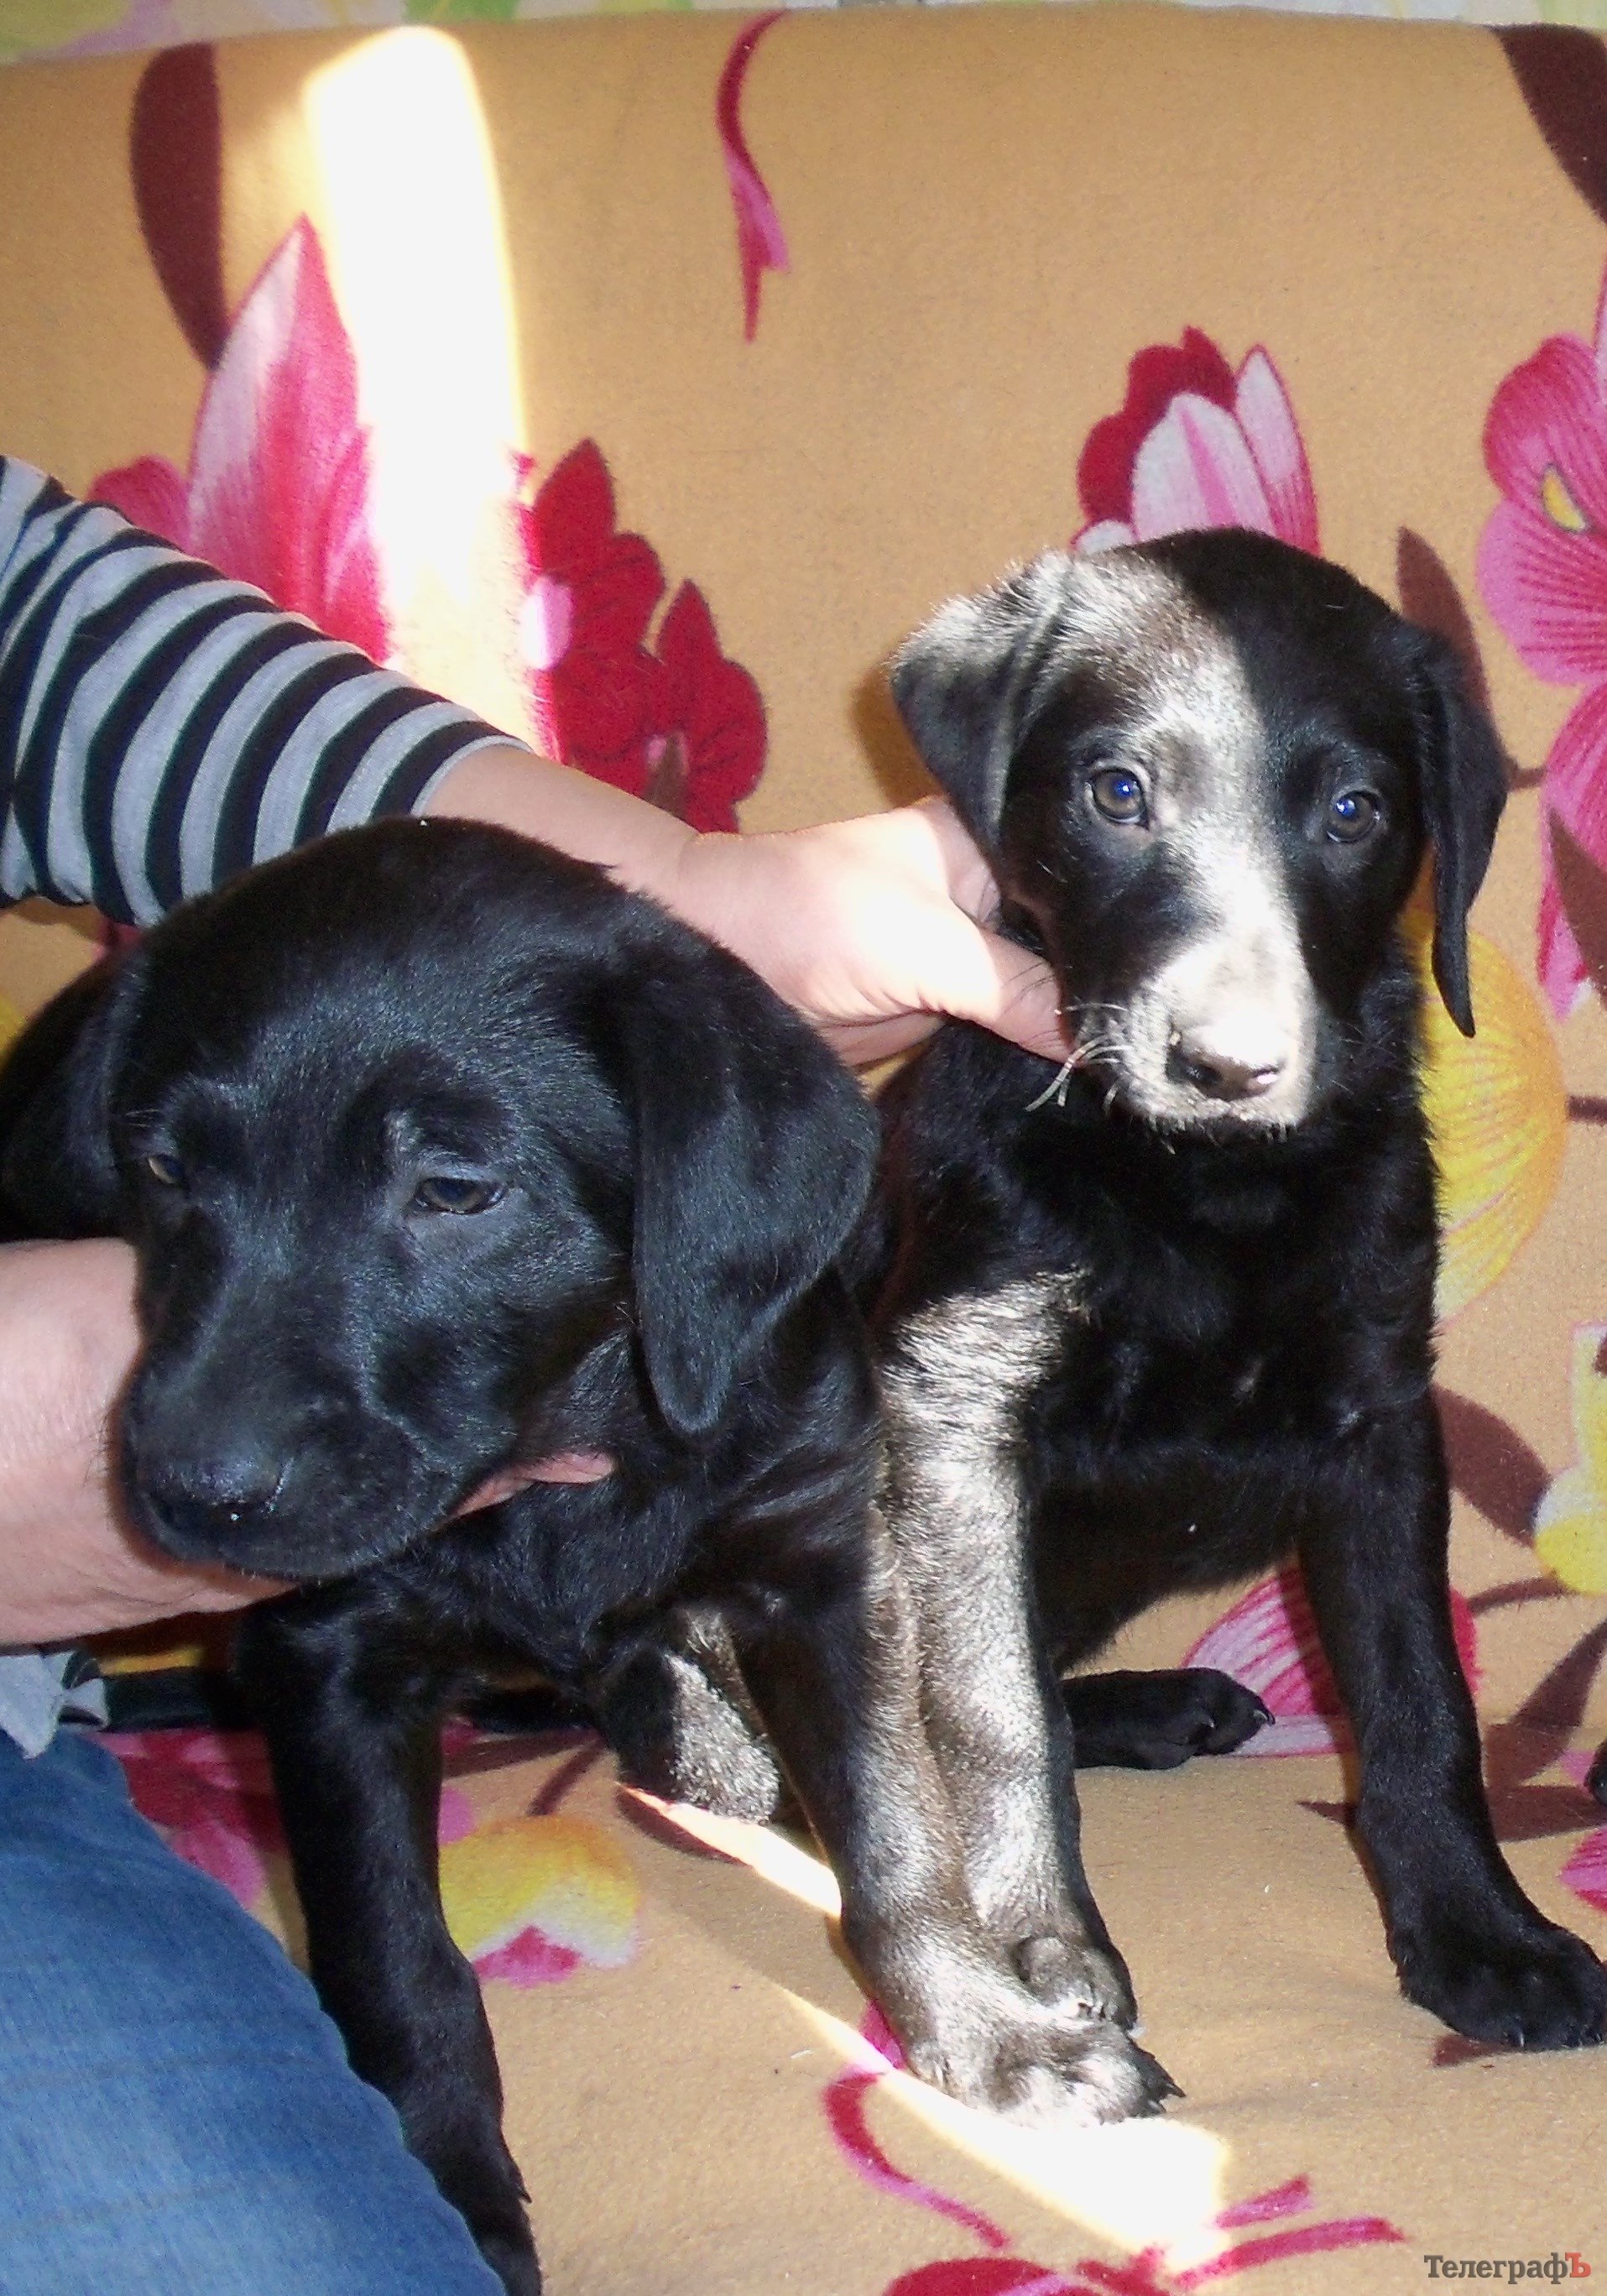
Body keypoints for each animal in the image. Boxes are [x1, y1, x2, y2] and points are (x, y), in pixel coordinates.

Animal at [865, 527, 1607, 2069]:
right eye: (1118, 792)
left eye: (1353, 810)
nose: (1229, 1065)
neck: (1205, 1189)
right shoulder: (957, 1415)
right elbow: (989, 1712)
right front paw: (1039, 1959)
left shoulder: (1379, 1420)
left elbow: (1419, 1704)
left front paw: (1481, 1935)